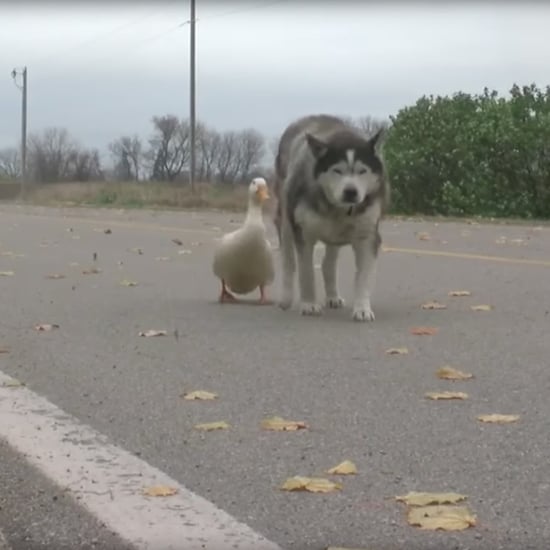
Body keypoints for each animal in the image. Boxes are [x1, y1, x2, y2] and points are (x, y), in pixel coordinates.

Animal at [274, 115, 390, 324]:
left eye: (362, 171)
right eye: (337, 170)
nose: (351, 191)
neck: (337, 208)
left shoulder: (368, 236)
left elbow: (363, 277)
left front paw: (362, 309)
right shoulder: (304, 234)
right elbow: (306, 272)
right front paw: (309, 304)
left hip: (335, 235)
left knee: (328, 264)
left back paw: (333, 297)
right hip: (286, 216)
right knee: (288, 260)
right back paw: (286, 298)